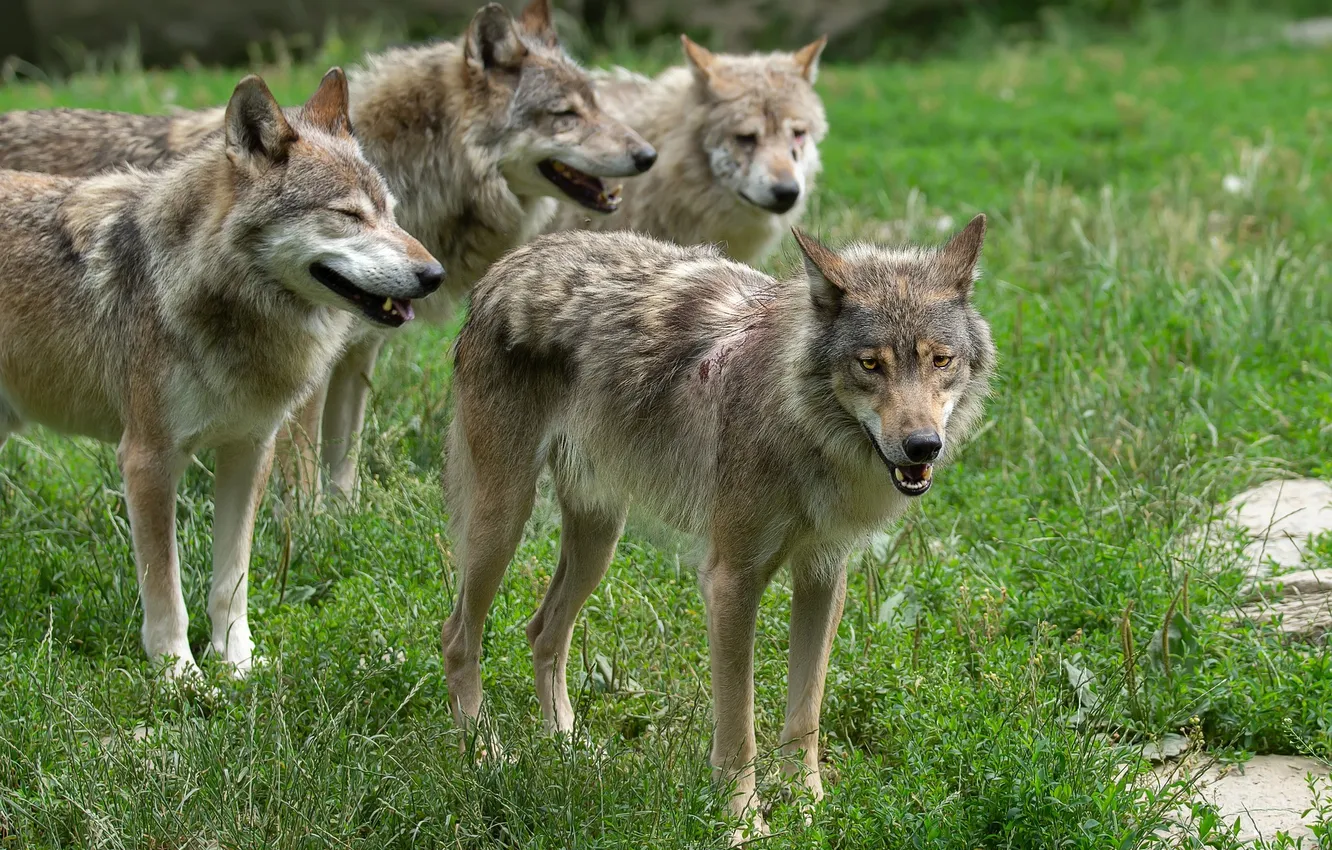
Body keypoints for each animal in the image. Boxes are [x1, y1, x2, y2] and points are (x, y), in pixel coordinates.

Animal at [0, 0, 657, 501]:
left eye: (596, 104)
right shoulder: (303, 377)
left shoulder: (354, 355)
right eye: (565, 115)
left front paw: (343, 519)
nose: (648, 154)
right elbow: (301, 471)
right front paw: (306, 528)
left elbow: (344, 457)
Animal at [0, 69, 441, 678]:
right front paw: (179, 677)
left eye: (392, 214)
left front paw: (238, 667)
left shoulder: (250, 450)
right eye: (349, 215)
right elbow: (166, 590)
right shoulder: (148, 459)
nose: (435, 275)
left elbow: (231, 582)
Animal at [441, 217, 995, 842]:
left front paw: (808, 811)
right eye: (870, 364)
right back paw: (485, 759)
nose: (923, 446)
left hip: (599, 536)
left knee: (543, 632)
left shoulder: (824, 574)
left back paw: (570, 750)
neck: (802, 426)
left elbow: (805, 715)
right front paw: (744, 825)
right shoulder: (731, 582)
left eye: (940, 360)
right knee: (457, 636)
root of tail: (507, 265)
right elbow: (738, 729)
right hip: (502, 524)